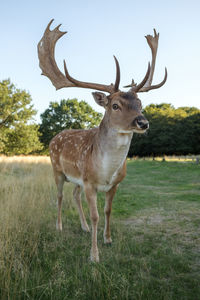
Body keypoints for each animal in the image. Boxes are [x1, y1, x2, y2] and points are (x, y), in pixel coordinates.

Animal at [37, 19, 167, 262]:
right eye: (115, 105)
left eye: (140, 103)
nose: (143, 122)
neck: (106, 171)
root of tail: (55, 136)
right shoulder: (89, 182)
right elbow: (96, 215)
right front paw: (94, 256)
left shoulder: (113, 184)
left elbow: (107, 211)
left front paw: (107, 239)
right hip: (56, 169)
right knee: (59, 196)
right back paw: (59, 227)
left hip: (75, 178)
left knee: (74, 194)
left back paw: (84, 227)